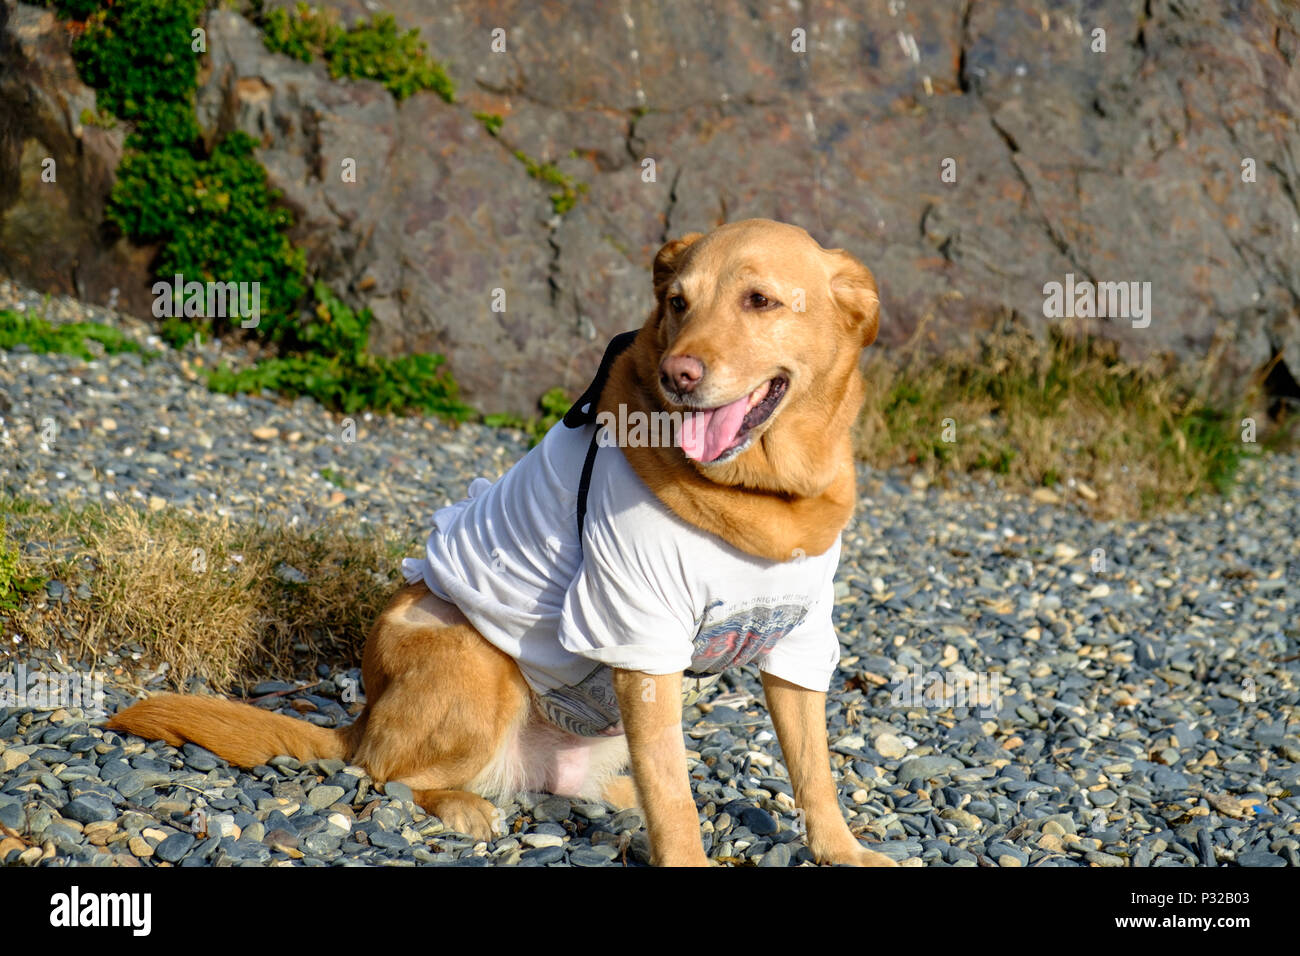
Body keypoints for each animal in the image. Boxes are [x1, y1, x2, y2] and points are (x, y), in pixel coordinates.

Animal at [106, 218, 894, 868]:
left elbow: (812, 772)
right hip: (471, 655)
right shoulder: (637, 631)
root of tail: (361, 721)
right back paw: (463, 805)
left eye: (760, 301)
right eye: (678, 303)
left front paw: (842, 851)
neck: (765, 500)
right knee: (389, 773)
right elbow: (674, 799)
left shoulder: (800, 639)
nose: (680, 375)